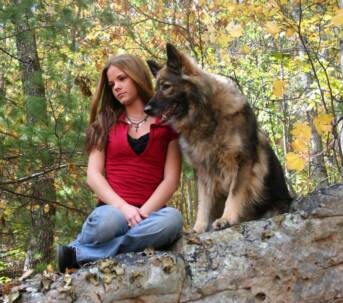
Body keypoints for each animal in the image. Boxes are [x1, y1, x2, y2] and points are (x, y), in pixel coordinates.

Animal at [145, 43, 292, 233]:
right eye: (156, 88)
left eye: (166, 86)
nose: (146, 110)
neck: (207, 117)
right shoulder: (204, 170)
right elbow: (204, 202)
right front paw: (199, 228)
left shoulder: (243, 162)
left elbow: (234, 193)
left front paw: (227, 219)